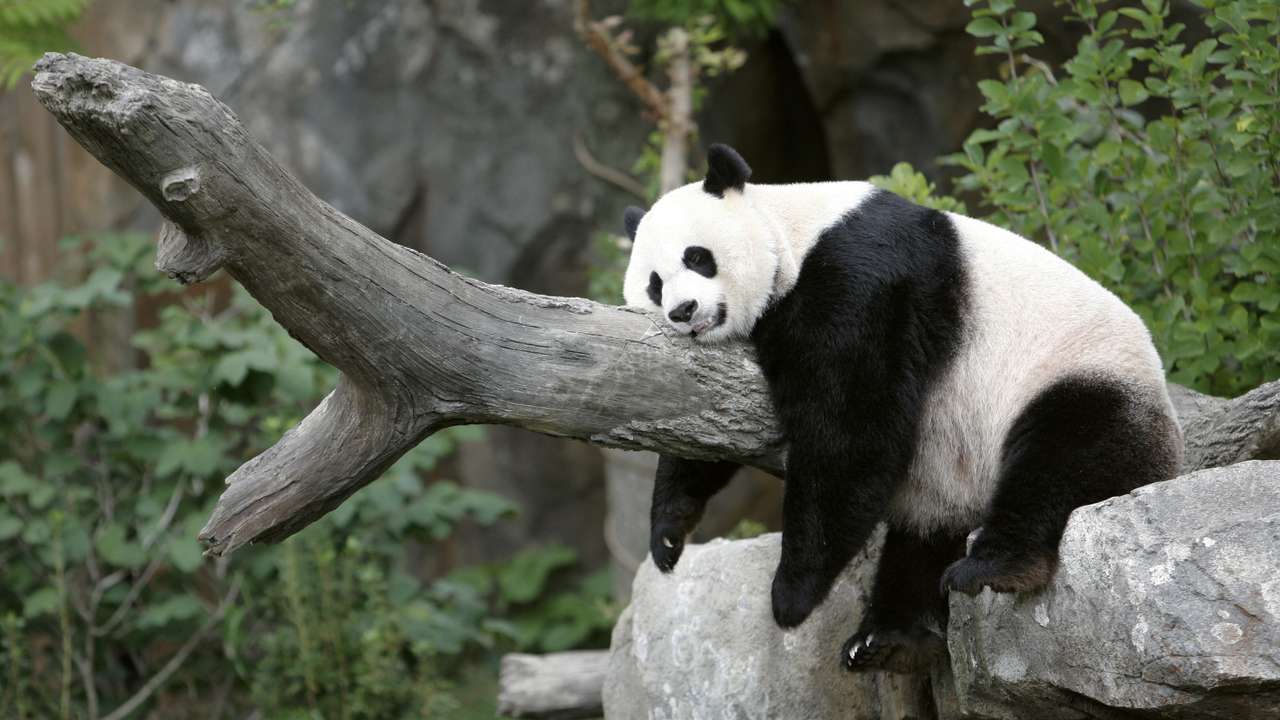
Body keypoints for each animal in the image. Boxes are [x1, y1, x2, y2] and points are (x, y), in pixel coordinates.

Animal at [621, 144, 1183, 673]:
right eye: (654, 283)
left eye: (697, 257)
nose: (683, 311)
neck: (793, 231)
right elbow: (707, 421)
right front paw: (669, 534)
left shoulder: (861, 279)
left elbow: (850, 429)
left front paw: (791, 596)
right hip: (949, 478)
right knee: (923, 537)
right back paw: (888, 637)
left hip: (1081, 378)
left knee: (1062, 458)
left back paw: (994, 567)